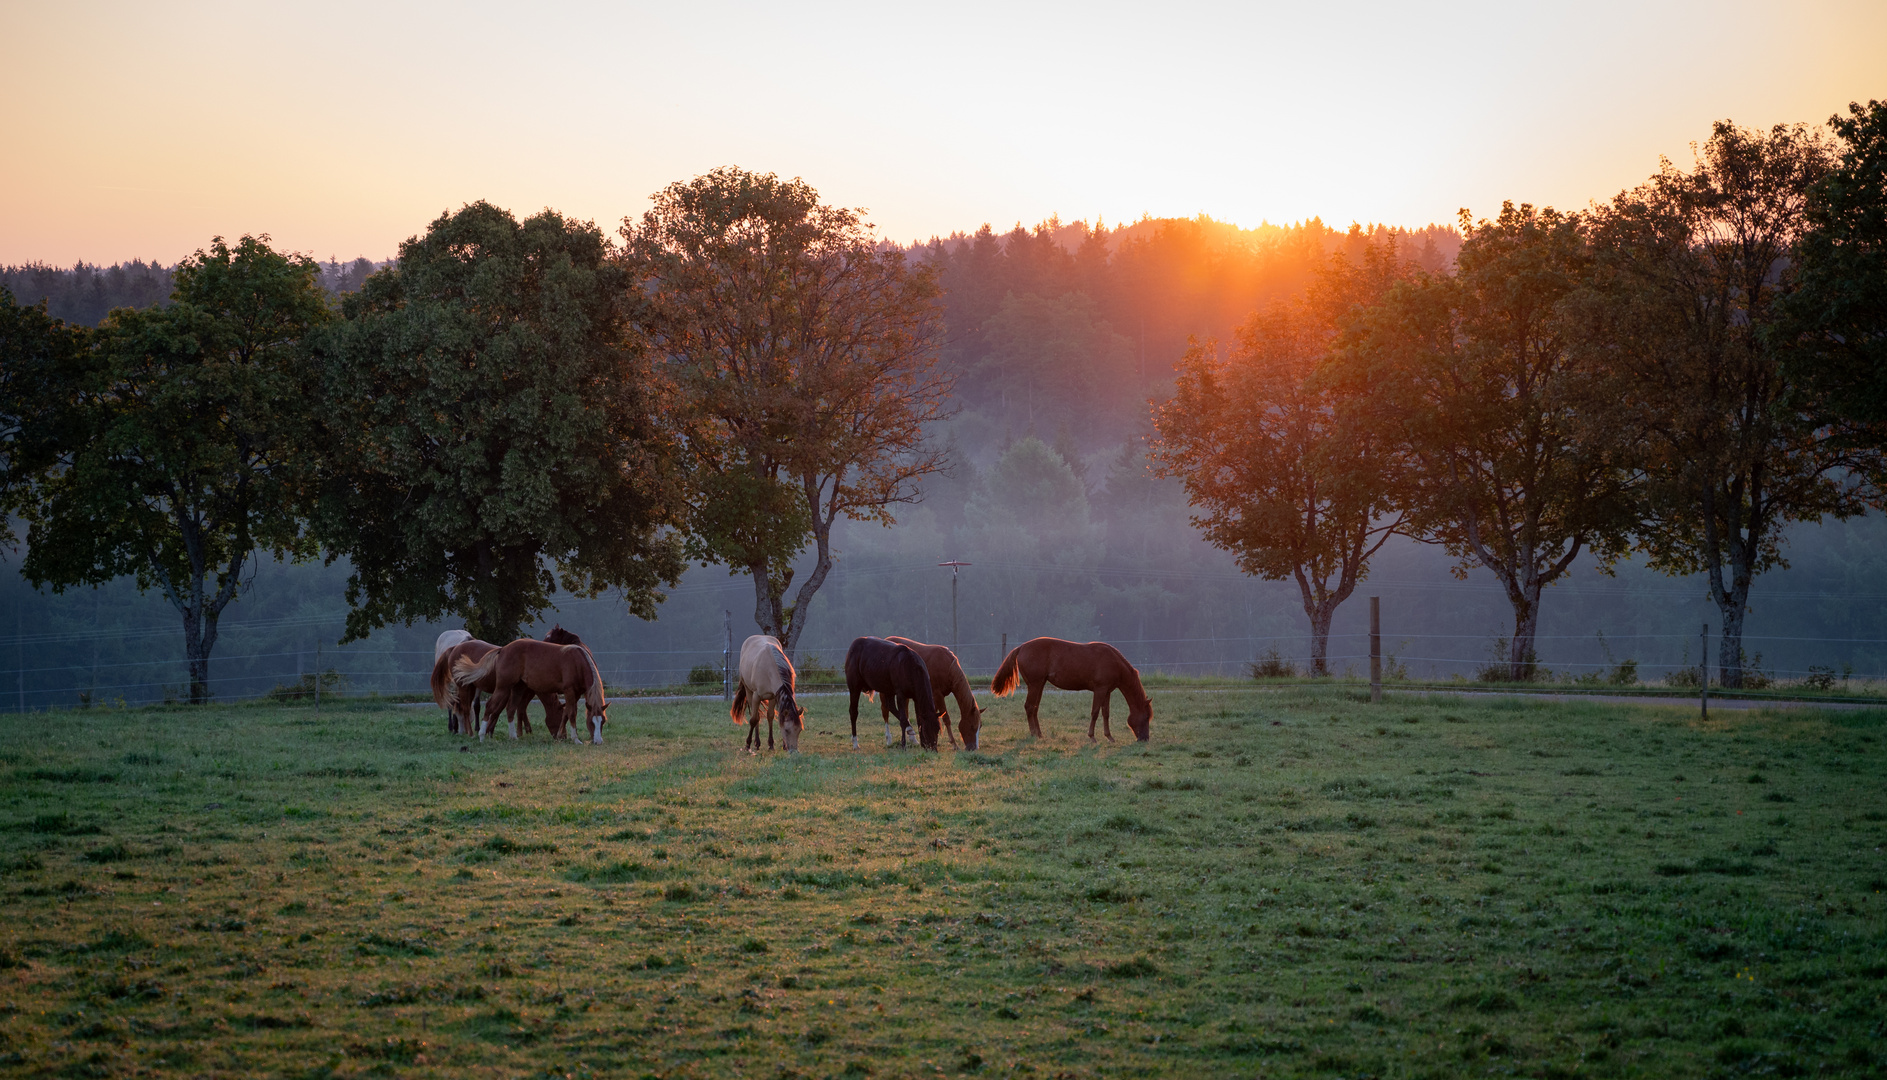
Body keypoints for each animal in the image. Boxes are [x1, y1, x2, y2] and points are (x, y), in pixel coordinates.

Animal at [452, 641, 607, 743]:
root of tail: (503, 649)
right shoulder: (569, 692)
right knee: (490, 706)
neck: (577, 661)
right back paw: (481, 735)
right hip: (503, 687)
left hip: (517, 688)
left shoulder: (576, 694)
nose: (598, 741)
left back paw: (513, 736)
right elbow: (572, 714)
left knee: (511, 709)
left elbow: (566, 714)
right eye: (591, 722)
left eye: (603, 721)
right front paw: (575, 739)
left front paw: (560, 735)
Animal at [988, 634, 1147, 743]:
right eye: (1146, 717)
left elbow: (1105, 713)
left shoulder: (1106, 691)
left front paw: (1109, 736)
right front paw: (1092, 737)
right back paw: (1034, 734)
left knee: (1034, 708)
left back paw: (1039, 734)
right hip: (1034, 685)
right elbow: (1095, 712)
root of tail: (1021, 648)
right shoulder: (1100, 690)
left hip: (1039, 685)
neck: (1113, 661)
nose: (1144, 739)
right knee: (1029, 707)